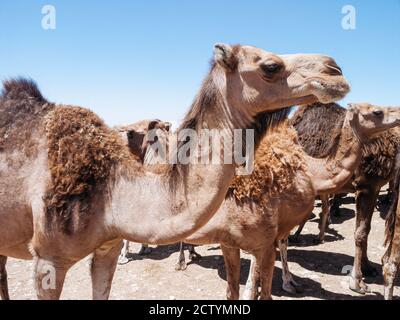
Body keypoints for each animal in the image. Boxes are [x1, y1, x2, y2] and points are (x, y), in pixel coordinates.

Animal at [288, 104, 400, 294]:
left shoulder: (374, 188)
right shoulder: (366, 185)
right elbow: (361, 232)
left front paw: (367, 268)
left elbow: (365, 229)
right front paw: (357, 282)